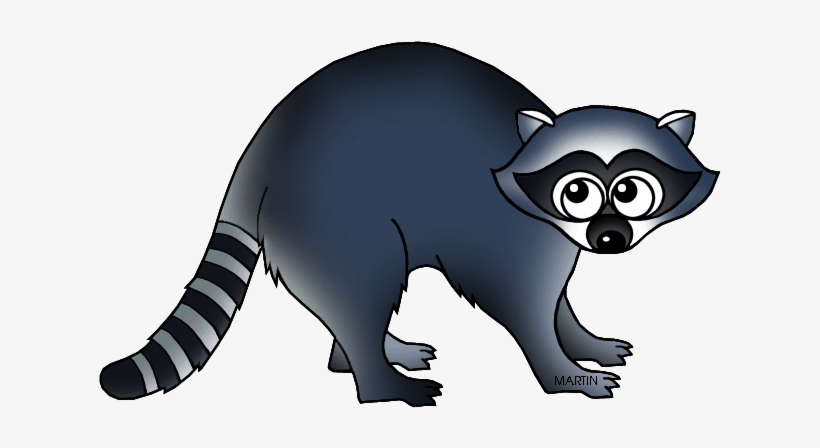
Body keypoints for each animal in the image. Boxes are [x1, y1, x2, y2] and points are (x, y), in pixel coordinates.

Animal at [100, 42, 718, 406]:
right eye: (578, 191)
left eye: (632, 190)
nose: (609, 238)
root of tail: (264, 145)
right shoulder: (506, 229)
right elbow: (523, 305)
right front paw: (563, 372)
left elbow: (558, 298)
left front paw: (582, 338)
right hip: (331, 209)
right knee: (364, 278)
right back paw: (376, 382)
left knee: (349, 295)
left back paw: (362, 353)